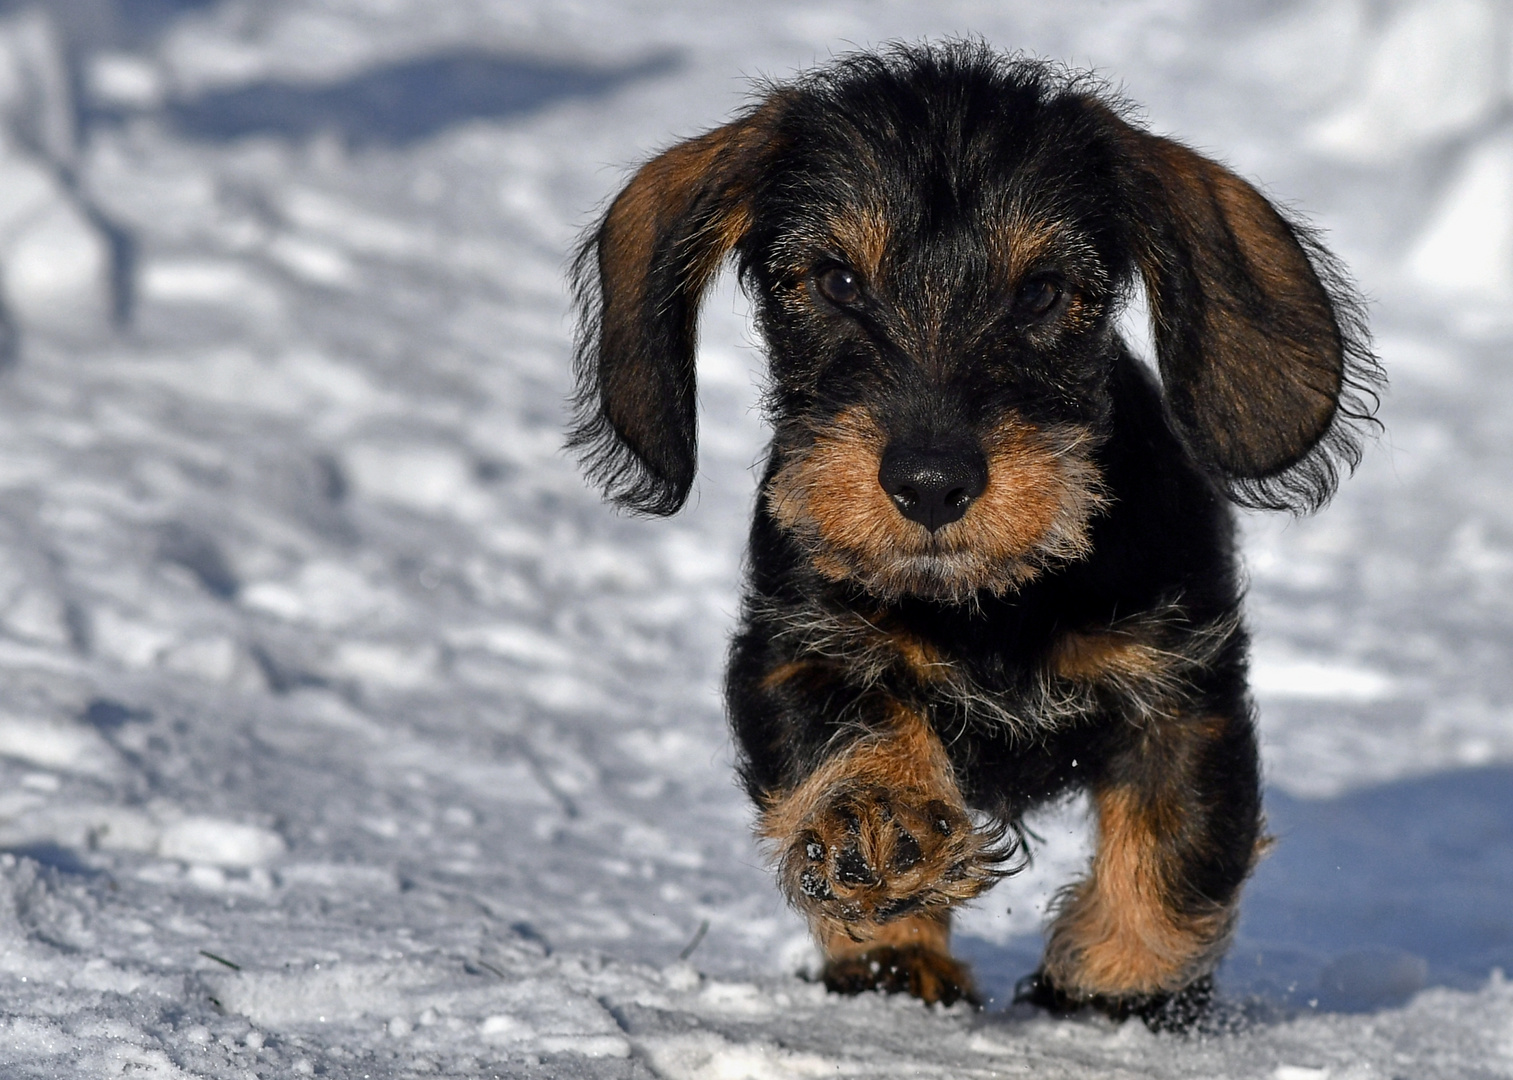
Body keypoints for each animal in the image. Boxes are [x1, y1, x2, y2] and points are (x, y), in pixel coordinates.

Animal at [565, 41, 1373, 1016]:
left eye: (1042, 293)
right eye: (836, 281)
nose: (930, 484)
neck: (987, 601)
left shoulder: (1183, 687)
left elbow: (1177, 849)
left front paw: (1111, 985)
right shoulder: (790, 646)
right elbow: (844, 725)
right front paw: (880, 823)